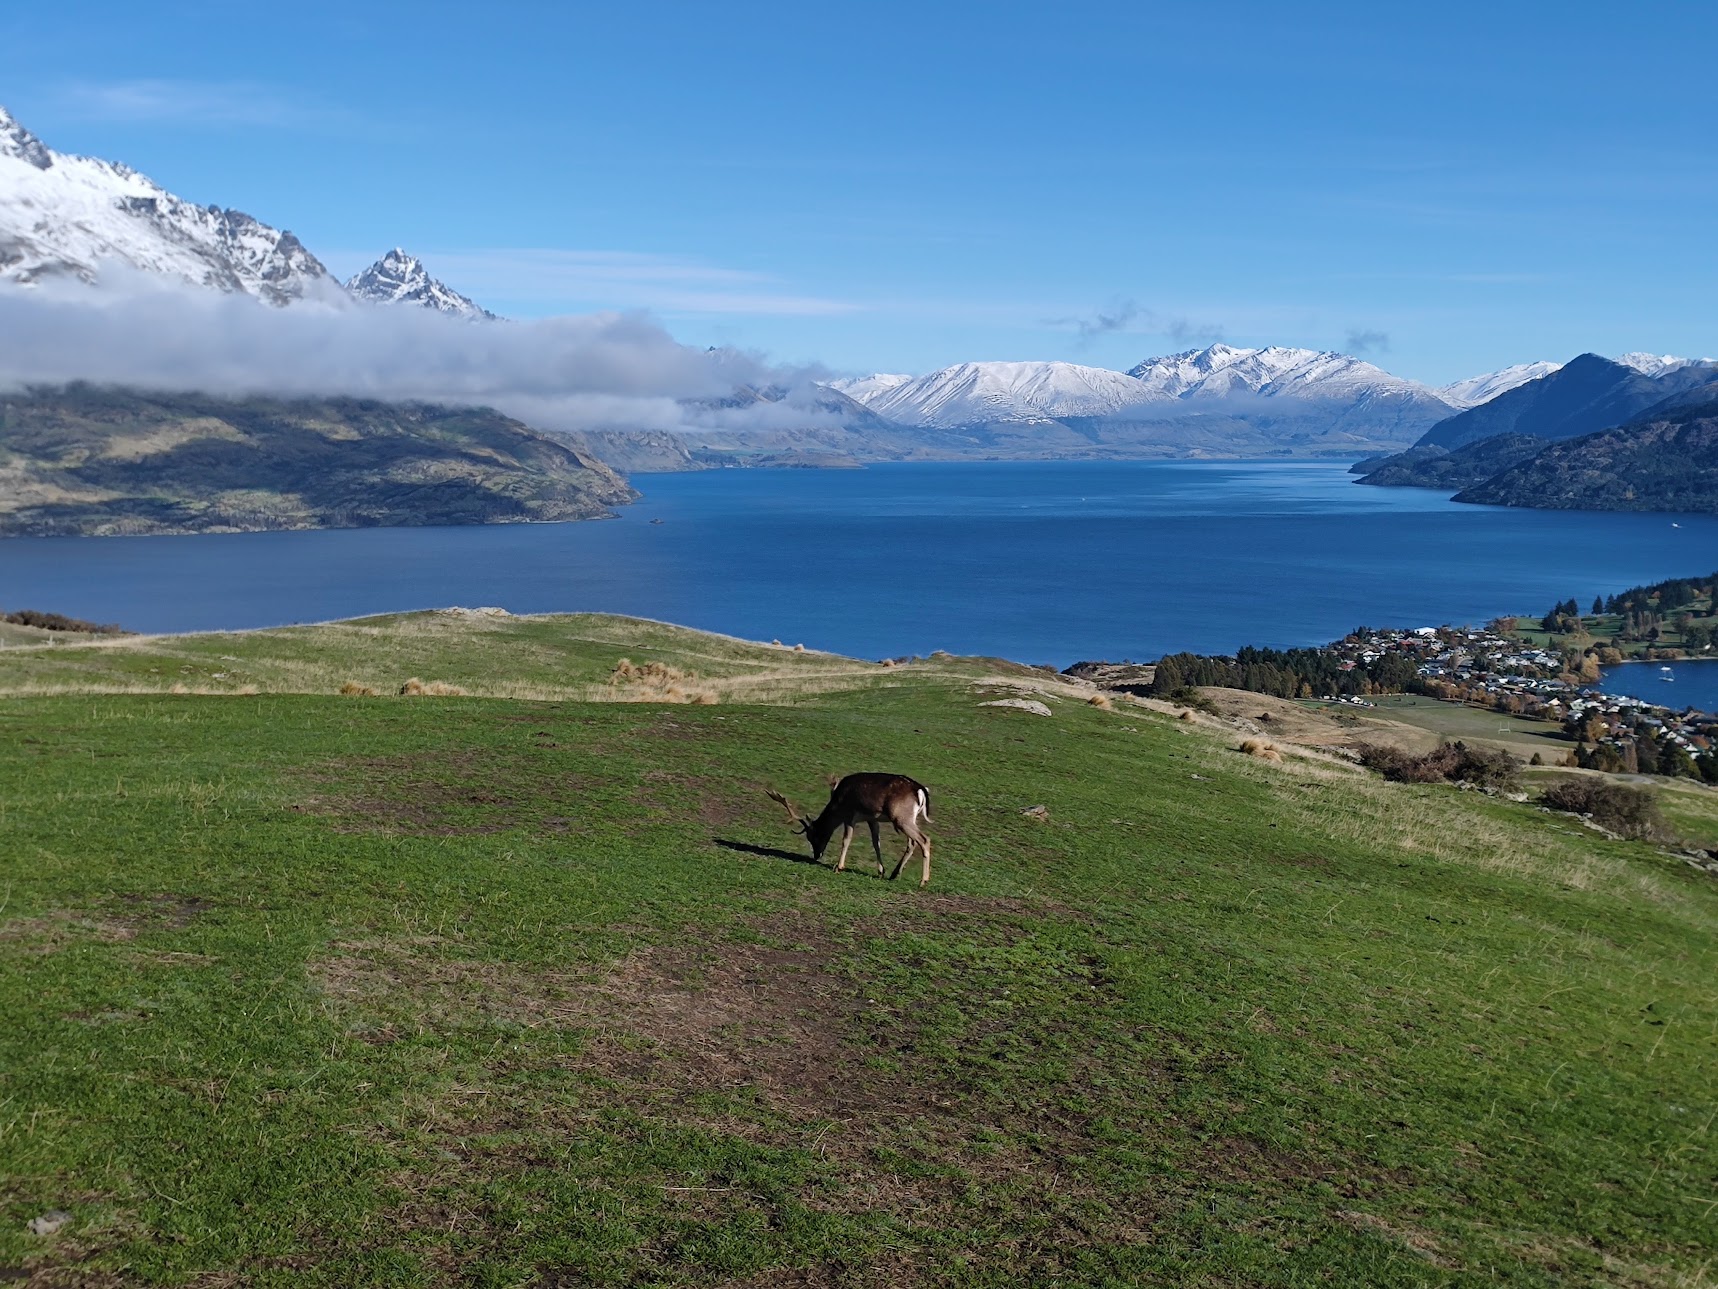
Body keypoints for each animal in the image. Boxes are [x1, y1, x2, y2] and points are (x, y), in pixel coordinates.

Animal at [766, 776, 927, 886]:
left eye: (813, 836)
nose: (817, 855)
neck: (838, 804)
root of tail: (921, 791)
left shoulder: (850, 816)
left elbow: (846, 840)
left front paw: (839, 867)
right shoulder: (871, 819)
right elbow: (876, 842)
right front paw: (881, 871)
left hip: (901, 819)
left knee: (924, 840)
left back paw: (923, 881)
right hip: (907, 820)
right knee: (913, 843)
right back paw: (895, 874)